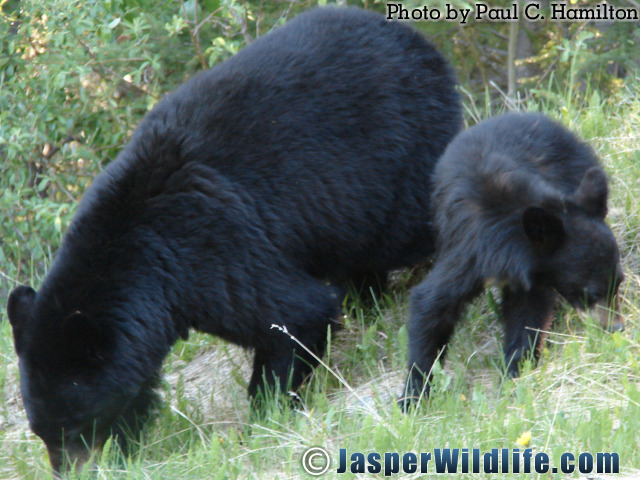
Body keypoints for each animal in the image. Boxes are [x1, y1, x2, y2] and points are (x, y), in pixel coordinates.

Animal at [6, 6, 464, 472]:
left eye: (75, 425)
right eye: (40, 430)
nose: (66, 469)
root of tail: (417, 40)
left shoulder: (212, 250)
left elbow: (294, 314)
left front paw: (266, 413)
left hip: (397, 157)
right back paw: (366, 300)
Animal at [402, 112, 624, 404]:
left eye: (619, 282)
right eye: (591, 292)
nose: (616, 328)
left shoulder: (534, 277)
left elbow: (527, 316)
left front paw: (515, 373)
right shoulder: (469, 252)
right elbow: (431, 304)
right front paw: (412, 396)